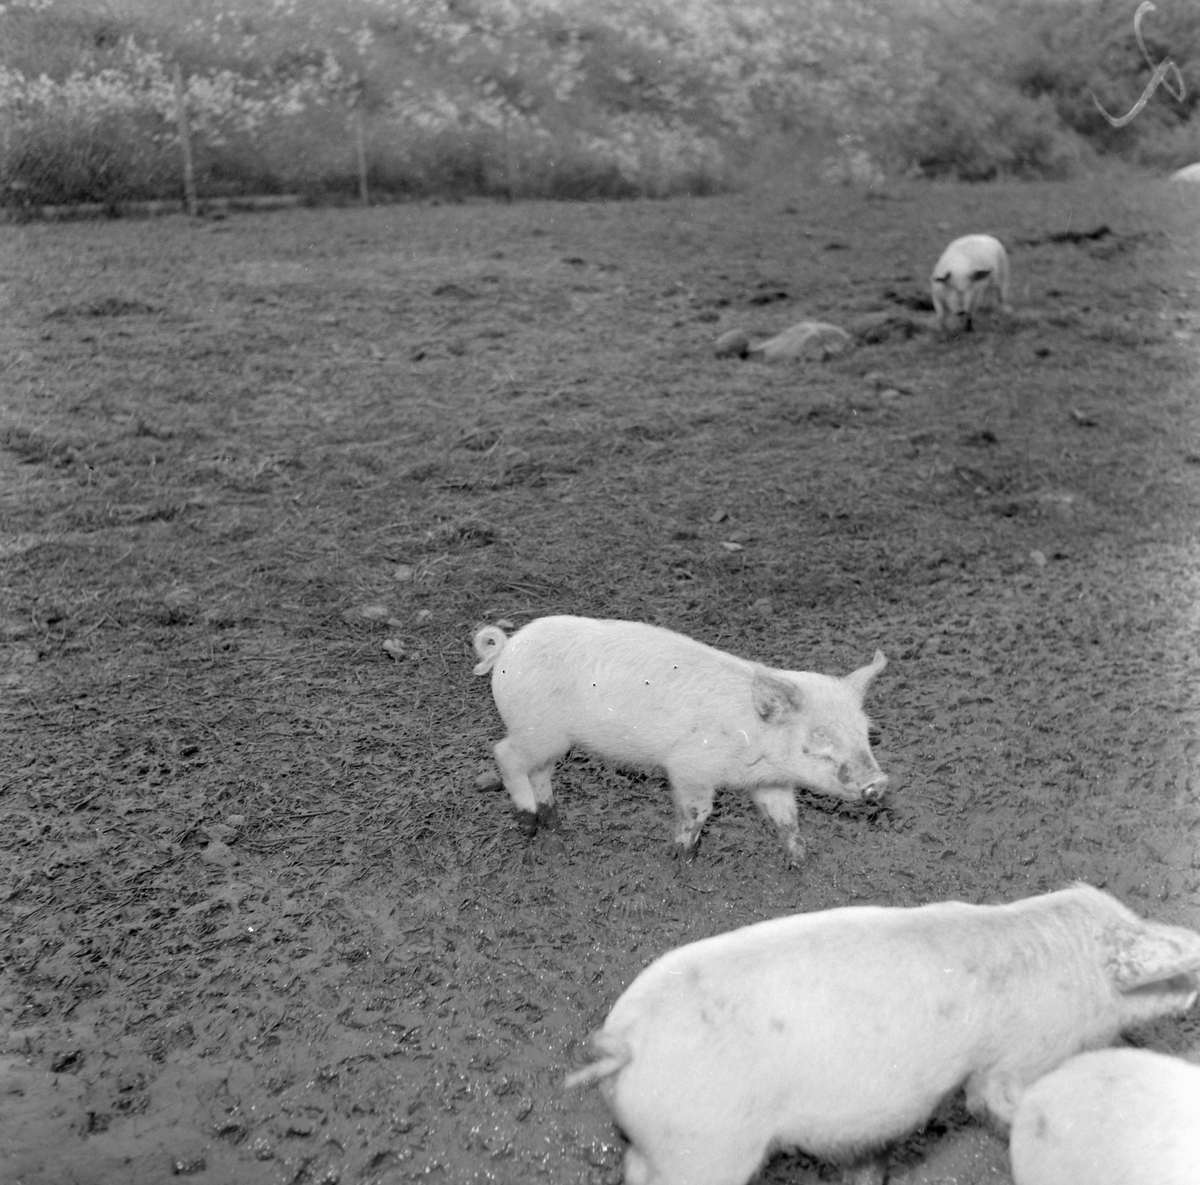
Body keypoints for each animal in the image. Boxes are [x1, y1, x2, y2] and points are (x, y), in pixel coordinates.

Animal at [472, 618, 888, 858]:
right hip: (536, 728)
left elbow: (787, 818)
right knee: (505, 754)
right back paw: (528, 823)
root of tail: (506, 647)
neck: (754, 739)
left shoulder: (769, 782)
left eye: (865, 731)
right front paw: (682, 858)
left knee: (540, 772)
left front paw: (801, 861)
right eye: (819, 736)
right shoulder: (690, 767)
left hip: (550, 738)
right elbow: (698, 812)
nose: (879, 782)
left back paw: (554, 827)